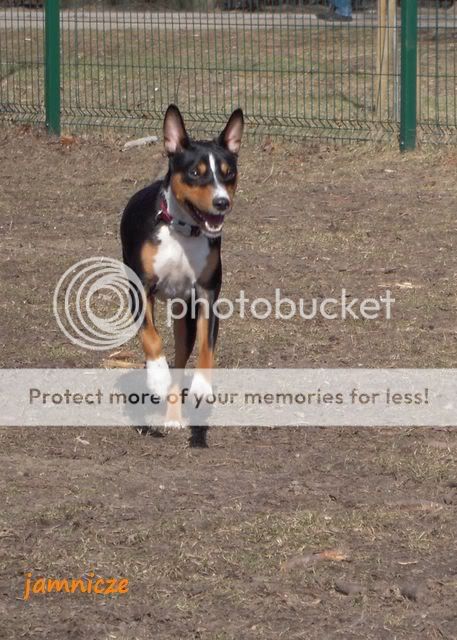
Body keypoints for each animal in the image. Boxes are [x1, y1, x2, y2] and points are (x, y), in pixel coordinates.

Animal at [121, 104, 244, 431]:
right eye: (194, 173)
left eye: (228, 174)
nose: (222, 202)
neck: (182, 232)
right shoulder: (140, 288)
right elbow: (150, 337)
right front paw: (156, 376)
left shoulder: (207, 292)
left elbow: (207, 346)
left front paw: (202, 385)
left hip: (184, 315)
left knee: (180, 360)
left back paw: (174, 415)